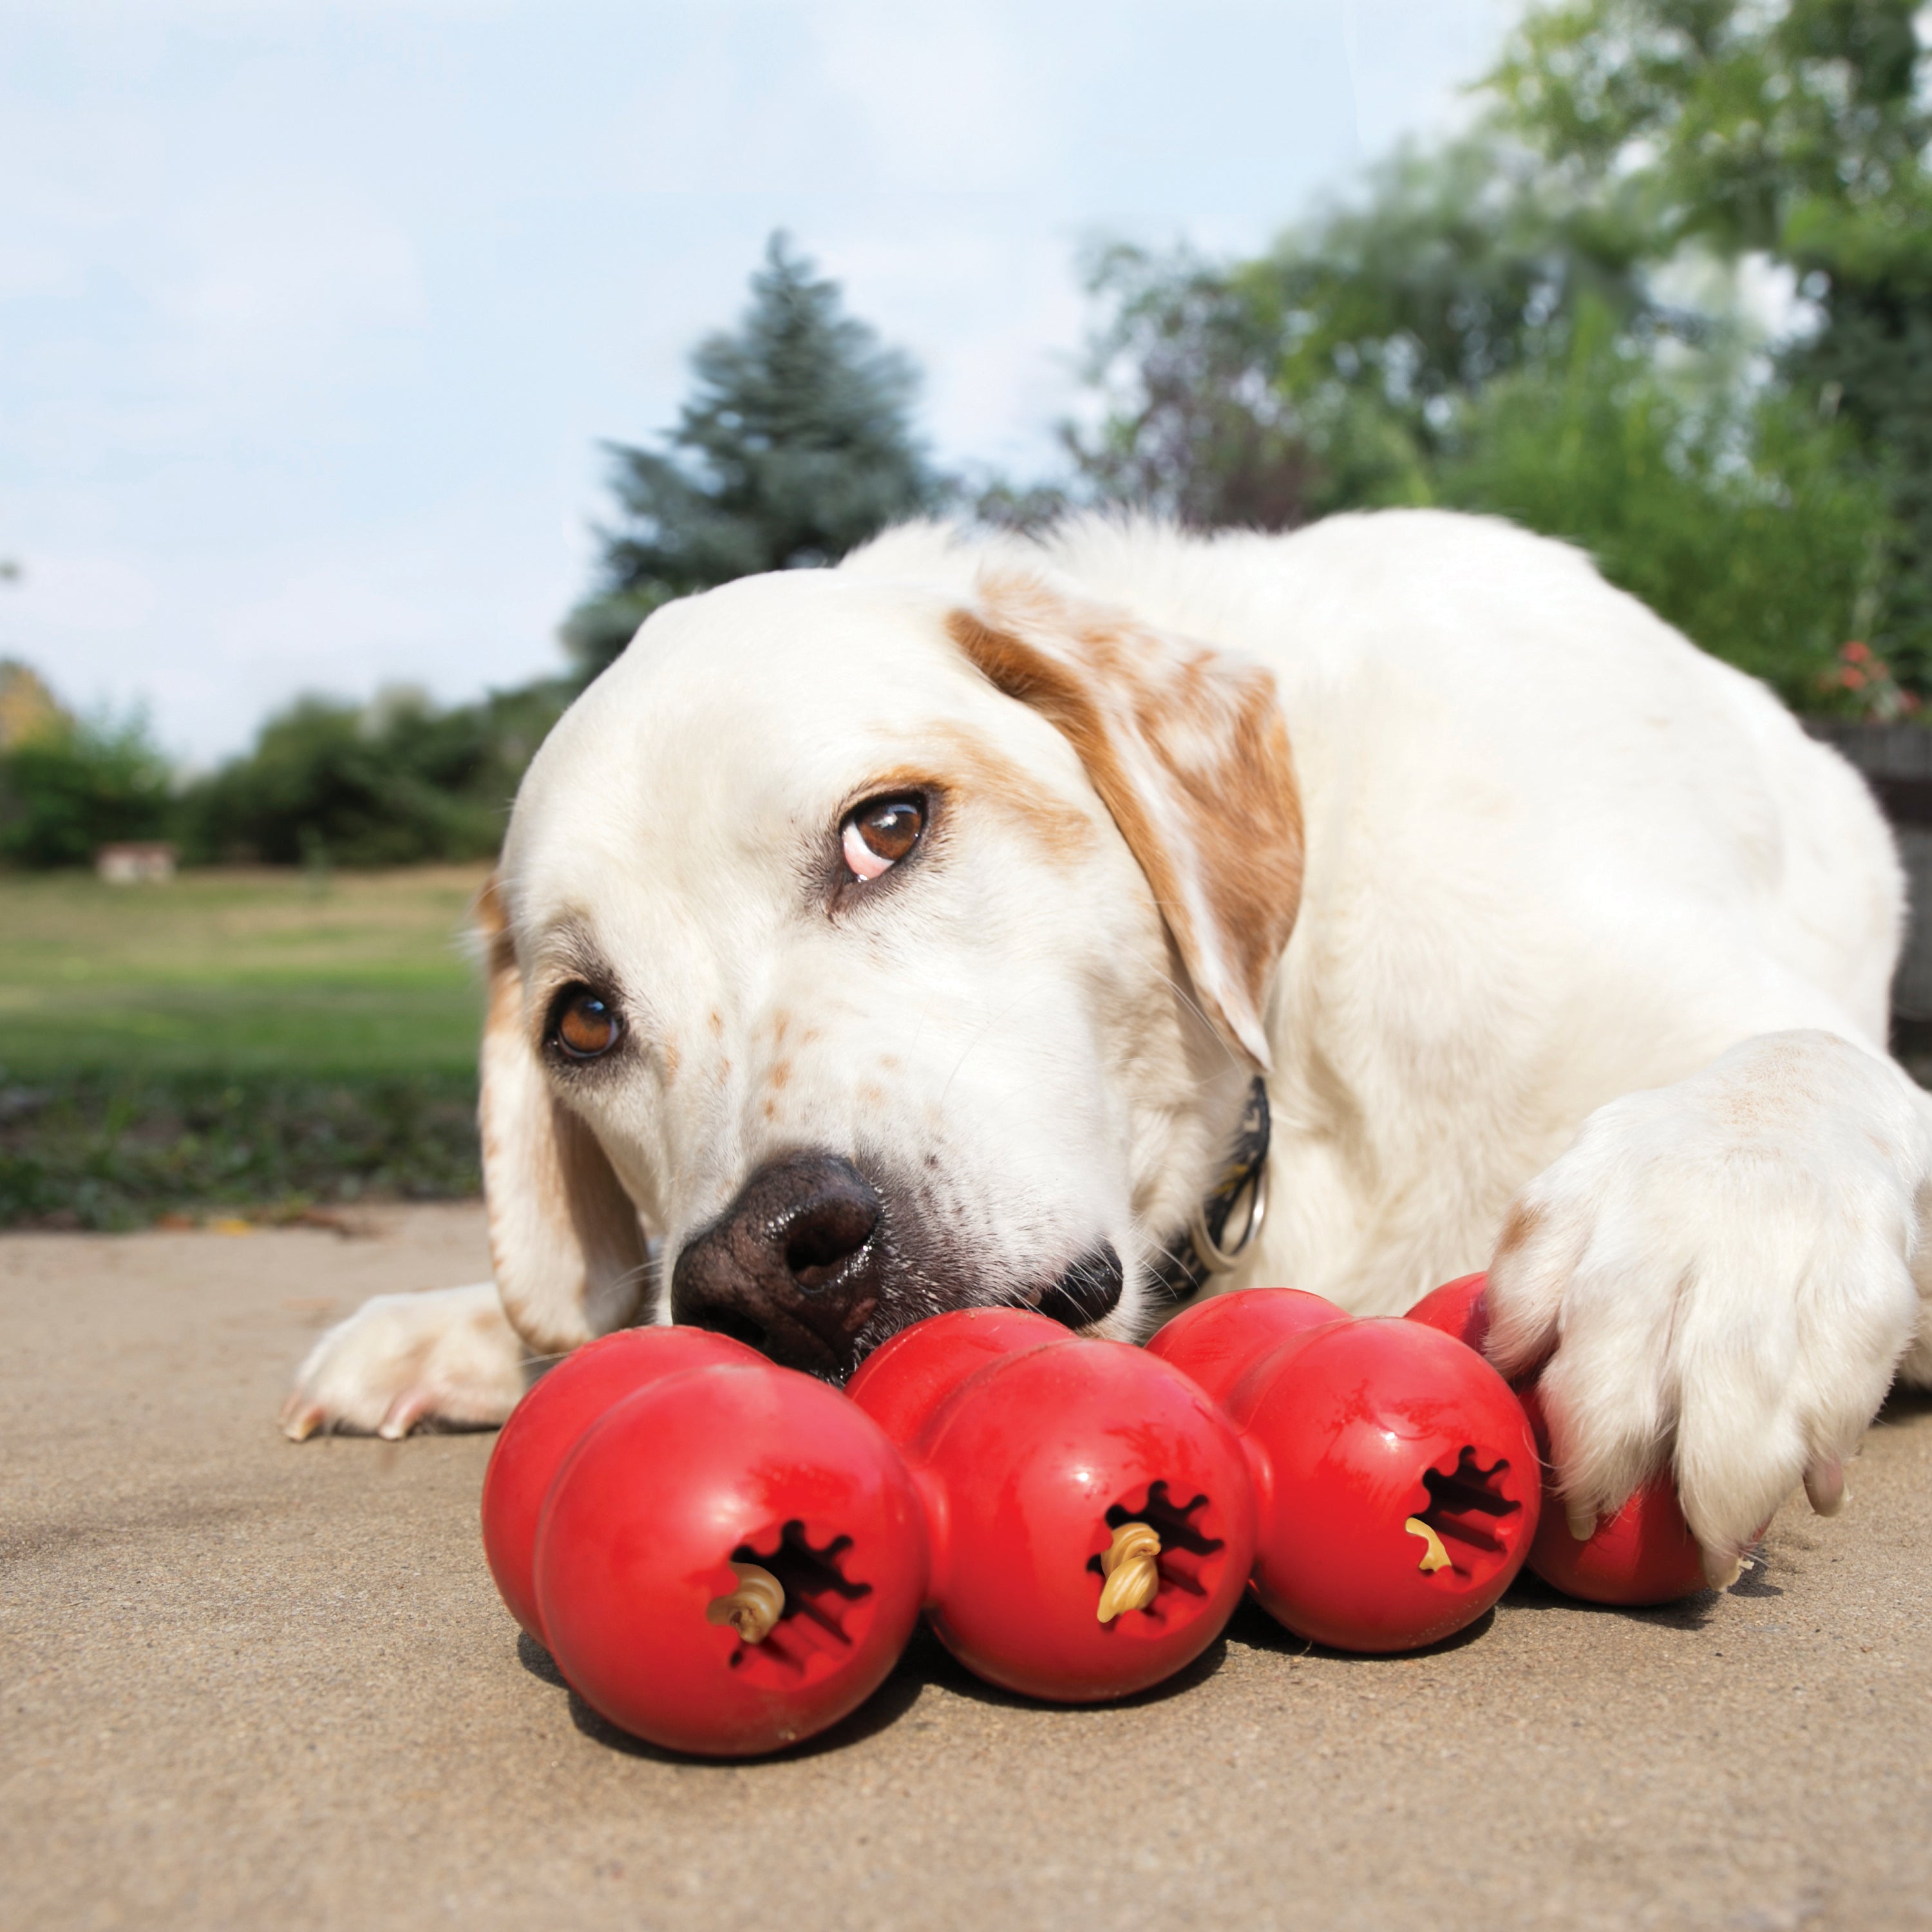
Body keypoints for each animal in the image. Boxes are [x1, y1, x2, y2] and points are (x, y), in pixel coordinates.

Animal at [276, 510, 1932, 1584]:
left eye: (888, 825)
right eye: (586, 1019)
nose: (755, 1266)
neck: (1285, 1084)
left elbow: (1801, 1071)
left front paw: (1709, 1247)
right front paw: (478, 1328)